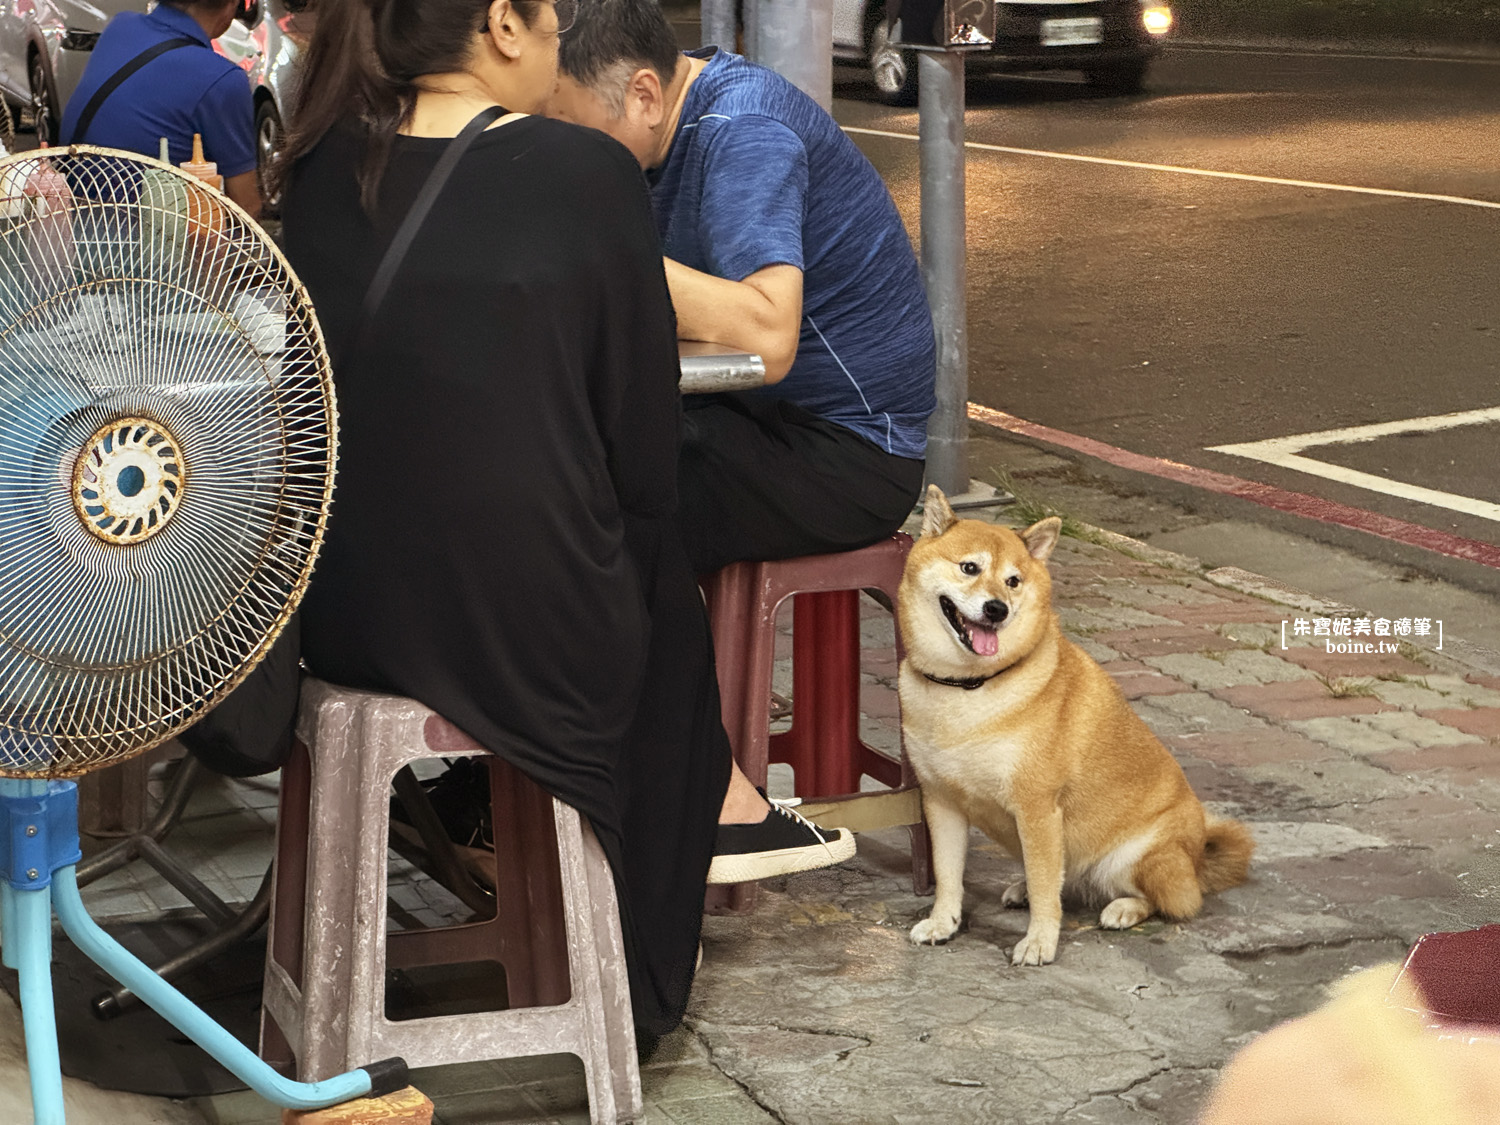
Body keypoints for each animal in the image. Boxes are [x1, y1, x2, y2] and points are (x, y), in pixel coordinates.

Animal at [900, 486, 1254, 972]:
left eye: (1013, 581)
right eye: (969, 567)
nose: (996, 609)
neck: (969, 688)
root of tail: (1197, 855)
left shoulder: (1037, 808)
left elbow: (1047, 890)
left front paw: (1039, 943)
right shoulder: (941, 801)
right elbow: (949, 875)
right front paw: (943, 922)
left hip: (1135, 856)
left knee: (1171, 900)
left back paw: (1123, 908)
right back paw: (1024, 889)